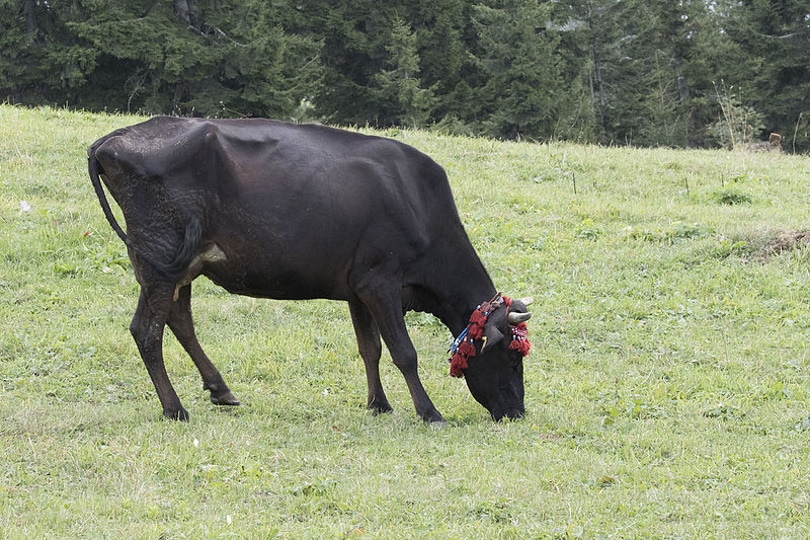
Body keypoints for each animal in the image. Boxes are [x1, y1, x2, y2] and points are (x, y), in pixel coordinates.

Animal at [88, 117, 532, 422]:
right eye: (512, 357)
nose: (516, 412)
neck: (419, 203)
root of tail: (111, 140)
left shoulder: (358, 286)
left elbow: (369, 348)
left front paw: (379, 404)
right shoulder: (381, 280)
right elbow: (404, 352)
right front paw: (429, 412)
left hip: (178, 263)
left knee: (179, 321)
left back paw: (221, 390)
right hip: (160, 256)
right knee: (147, 330)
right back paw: (175, 408)